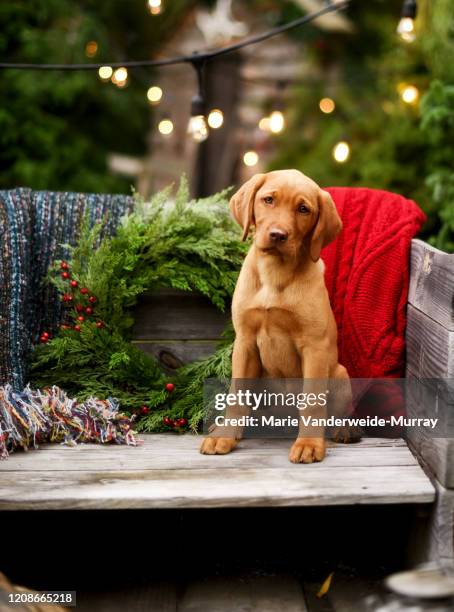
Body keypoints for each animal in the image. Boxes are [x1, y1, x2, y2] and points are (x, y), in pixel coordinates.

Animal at [200, 170, 354, 462]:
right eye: (268, 200)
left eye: (304, 209)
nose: (277, 235)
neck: (275, 273)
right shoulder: (245, 343)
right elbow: (236, 396)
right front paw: (224, 437)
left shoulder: (315, 348)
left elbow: (312, 403)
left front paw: (309, 444)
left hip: (340, 373)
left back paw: (345, 431)